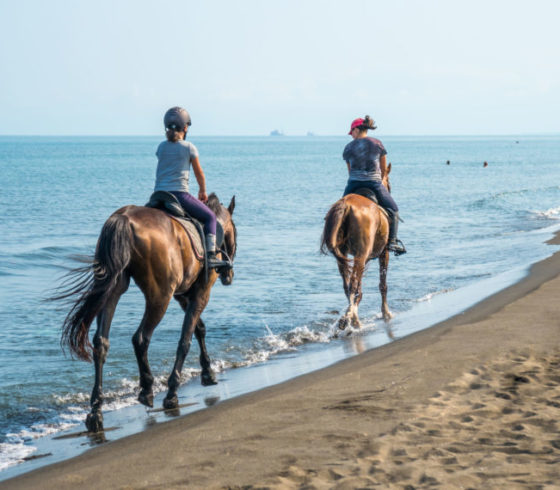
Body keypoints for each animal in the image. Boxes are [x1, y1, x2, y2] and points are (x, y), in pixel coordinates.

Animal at [58, 193, 237, 430]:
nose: (229, 275)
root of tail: (124, 219)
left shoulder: (183, 295)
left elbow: (198, 329)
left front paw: (207, 372)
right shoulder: (201, 293)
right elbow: (185, 339)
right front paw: (172, 391)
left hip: (113, 286)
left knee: (101, 343)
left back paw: (96, 411)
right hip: (159, 296)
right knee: (141, 338)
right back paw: (147, 389)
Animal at [322, 164, 396, 330]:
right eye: (389, 183)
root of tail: (345, 205)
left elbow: (359, 290)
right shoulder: (384, 253)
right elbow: (383, 285)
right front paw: (386, 313)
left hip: (345, 257)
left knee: (348, 285)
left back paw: (351, 318)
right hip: (361, 256)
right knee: (353, 284)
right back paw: (351, 318)